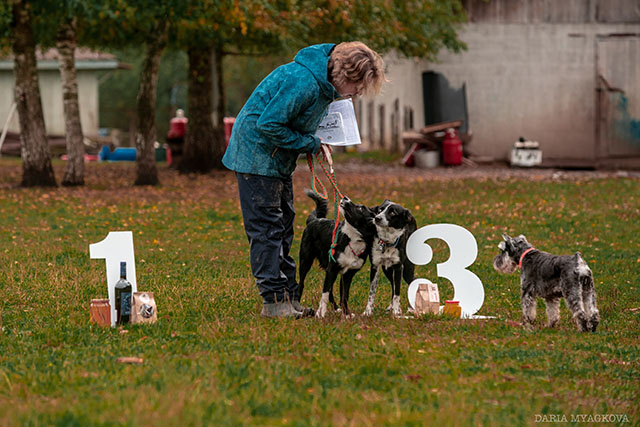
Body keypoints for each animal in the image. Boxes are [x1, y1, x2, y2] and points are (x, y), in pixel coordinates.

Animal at [298, 190, 378, 318]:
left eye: (360, 208)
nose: (345, 197)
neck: (353, 238)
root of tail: (315, 219)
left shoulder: (347, 274)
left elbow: (344, 296)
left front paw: (347, 315)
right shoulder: (332, 269)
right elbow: (325, 294)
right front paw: (321, 313)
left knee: (330, 289)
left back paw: (336, 309)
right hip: (305, 261)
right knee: (301, 284)